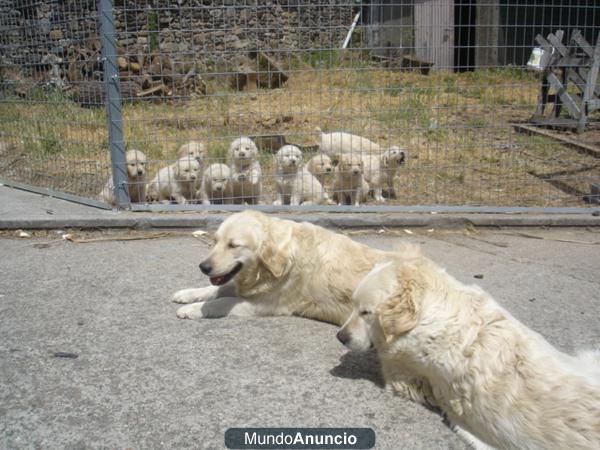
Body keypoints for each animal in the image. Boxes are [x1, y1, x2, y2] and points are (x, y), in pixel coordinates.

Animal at [172, 209, 398, 326]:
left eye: (233, 245)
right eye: (215, 241)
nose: (203, 267)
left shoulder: (265, 304)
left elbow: (223, 301)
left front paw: (193, 309)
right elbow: (215, 289)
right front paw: (187, 294)